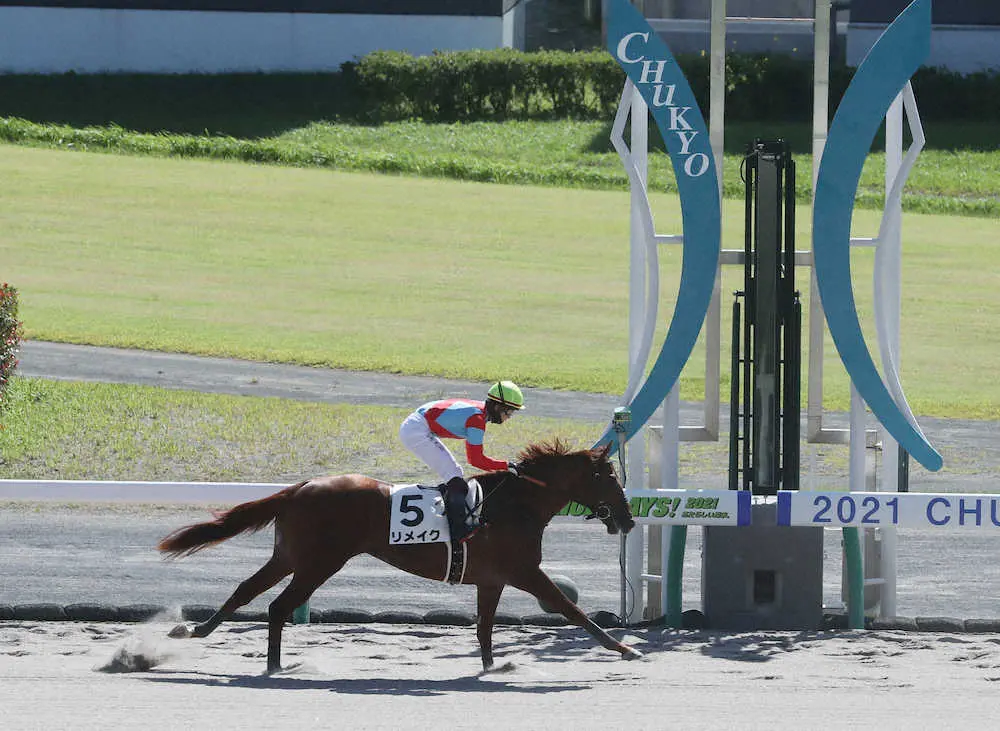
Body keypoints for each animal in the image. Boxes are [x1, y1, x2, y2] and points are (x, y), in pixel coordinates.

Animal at [158, 440, 640, 676]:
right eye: (607, 475)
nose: (628, 518)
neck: (515, 505)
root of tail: (301, 487)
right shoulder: (524, 571)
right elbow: (572, 610)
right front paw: (624, 648)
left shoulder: (493, 579)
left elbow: (485, 627)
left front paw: (492, 666)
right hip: (319, 561)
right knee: (277, 606)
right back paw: (276, 665)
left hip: (290, 556)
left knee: (247, 590)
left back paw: (199, 631)